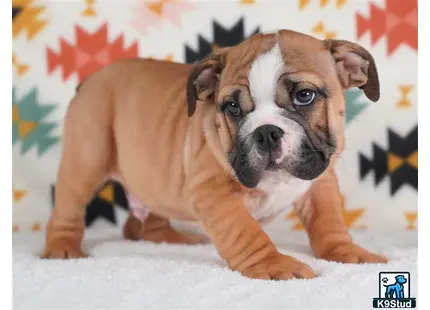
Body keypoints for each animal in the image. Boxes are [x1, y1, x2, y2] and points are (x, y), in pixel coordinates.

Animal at [42, 30, 388, 280]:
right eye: (232, 107)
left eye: (305, 95)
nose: (266, 131)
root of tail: (90, 80)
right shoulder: (213, 192)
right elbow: (245, 232)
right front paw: (273, 265)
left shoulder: (319, 181)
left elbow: (328, 221)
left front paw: (347, 251)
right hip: (86, 160)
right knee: (68, 210)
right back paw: (62, 249)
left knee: (144, 221)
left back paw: (173, 238)